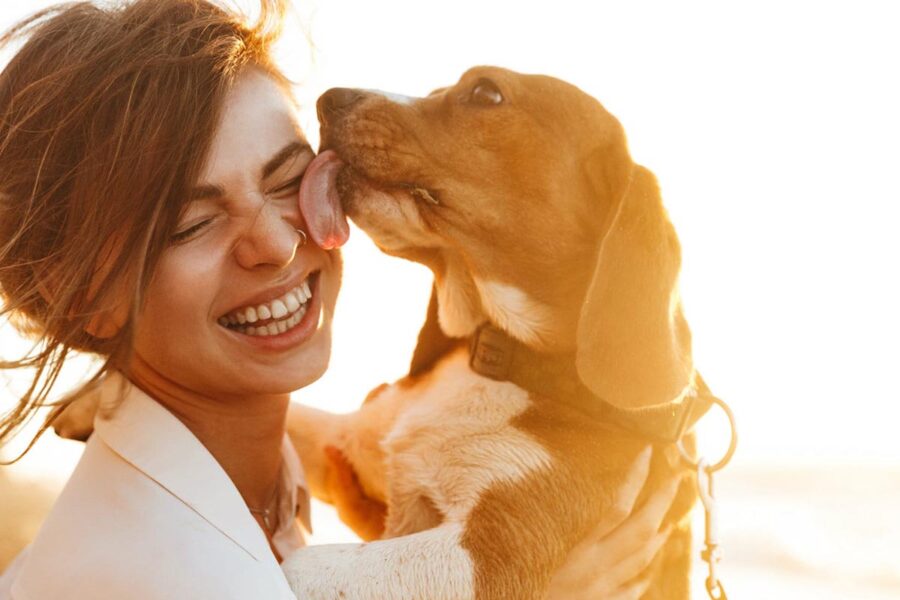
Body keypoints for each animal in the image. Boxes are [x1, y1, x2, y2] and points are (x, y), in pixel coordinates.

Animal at [278, 67, 712, 600]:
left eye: (486, 91)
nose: (327, 99)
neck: (497, 357)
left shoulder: (491, 553)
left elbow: (302, 565)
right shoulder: (349, 443)